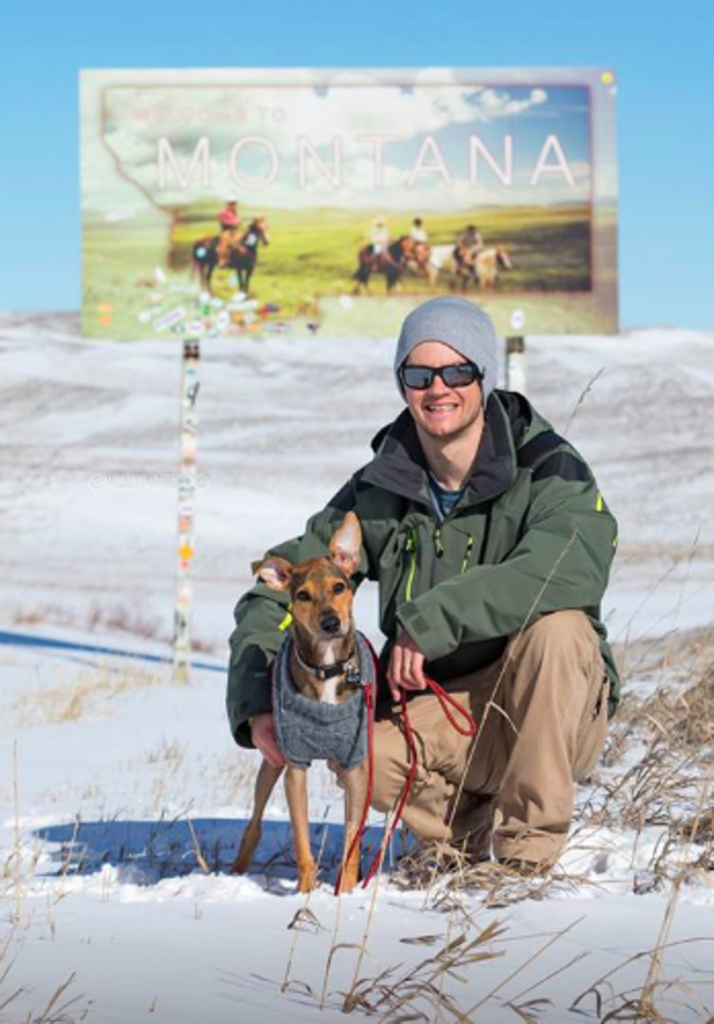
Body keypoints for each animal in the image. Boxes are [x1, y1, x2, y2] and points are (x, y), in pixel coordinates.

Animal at [232, 516, 370, 892]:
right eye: (303, 595)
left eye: (339, 586)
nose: (331, 623)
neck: (327, 669)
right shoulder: (294, 765)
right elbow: (301, 839)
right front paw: (305, 892)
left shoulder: (356, 768)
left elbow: (353, 840)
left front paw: (344, 891)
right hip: (271, 760)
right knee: (253, 823)